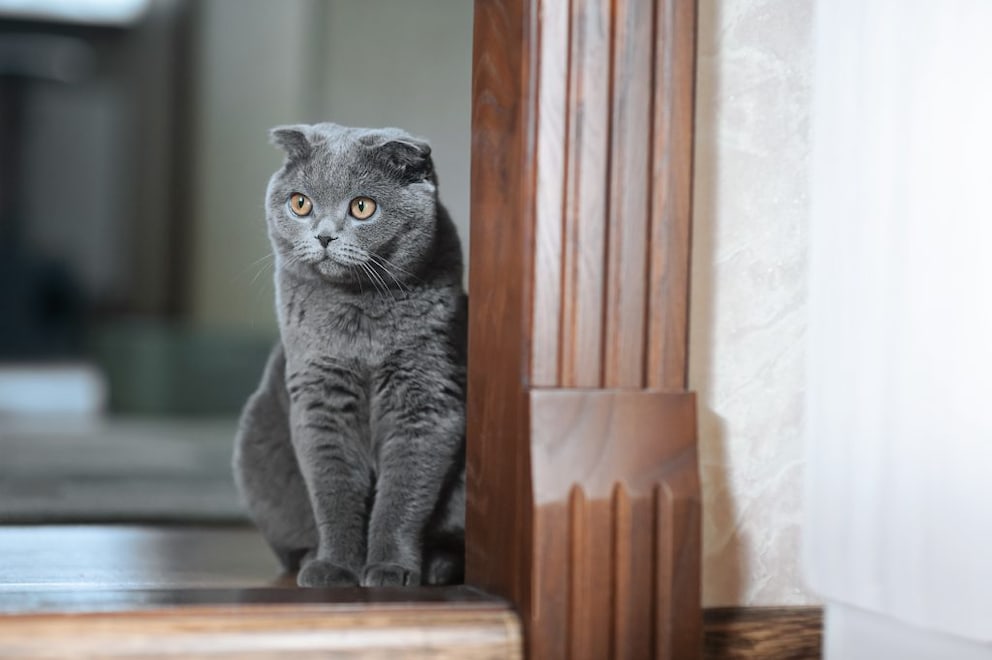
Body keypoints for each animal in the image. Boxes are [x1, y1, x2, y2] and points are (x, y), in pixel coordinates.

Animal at [232, 122, 464, 588]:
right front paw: (336, 568)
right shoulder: (321, 396)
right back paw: (308, 559)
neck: (360, 317)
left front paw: (391, 569)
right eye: (300, 203)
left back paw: (439, 565)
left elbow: (402, 495)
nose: (323, 235)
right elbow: (333, 489)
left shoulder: (426, 399)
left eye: (362, 207)